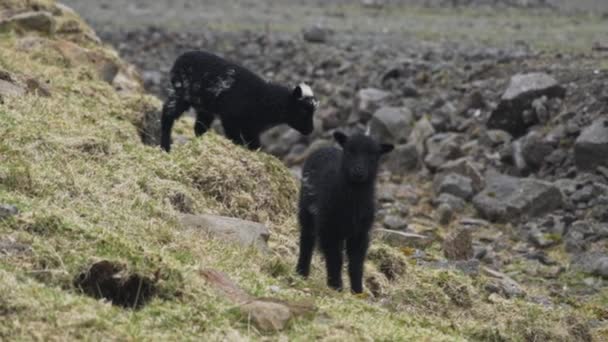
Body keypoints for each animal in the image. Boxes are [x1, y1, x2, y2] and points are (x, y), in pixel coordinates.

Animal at [159, 50, 320, 152]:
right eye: (303, 110)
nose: (310, 130)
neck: (266, 100)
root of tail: (180, 59)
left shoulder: (252, 128)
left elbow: (255, 145)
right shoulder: (231, 118)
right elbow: (235, 138)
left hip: (204, 105)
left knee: (199, 127)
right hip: (182, 93)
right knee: (167, 114)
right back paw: (165, 146)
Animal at [296, 130, 394, 292]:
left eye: (373, 154)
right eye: (349, 151)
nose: (358, 171)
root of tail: (325, 148)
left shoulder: (360, 233)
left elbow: (356, 262)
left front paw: (357, 290)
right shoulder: (328, 229)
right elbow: (335, 258)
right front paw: (336, 286)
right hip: (306, 211)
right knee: (307, 240)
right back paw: (301, 272)